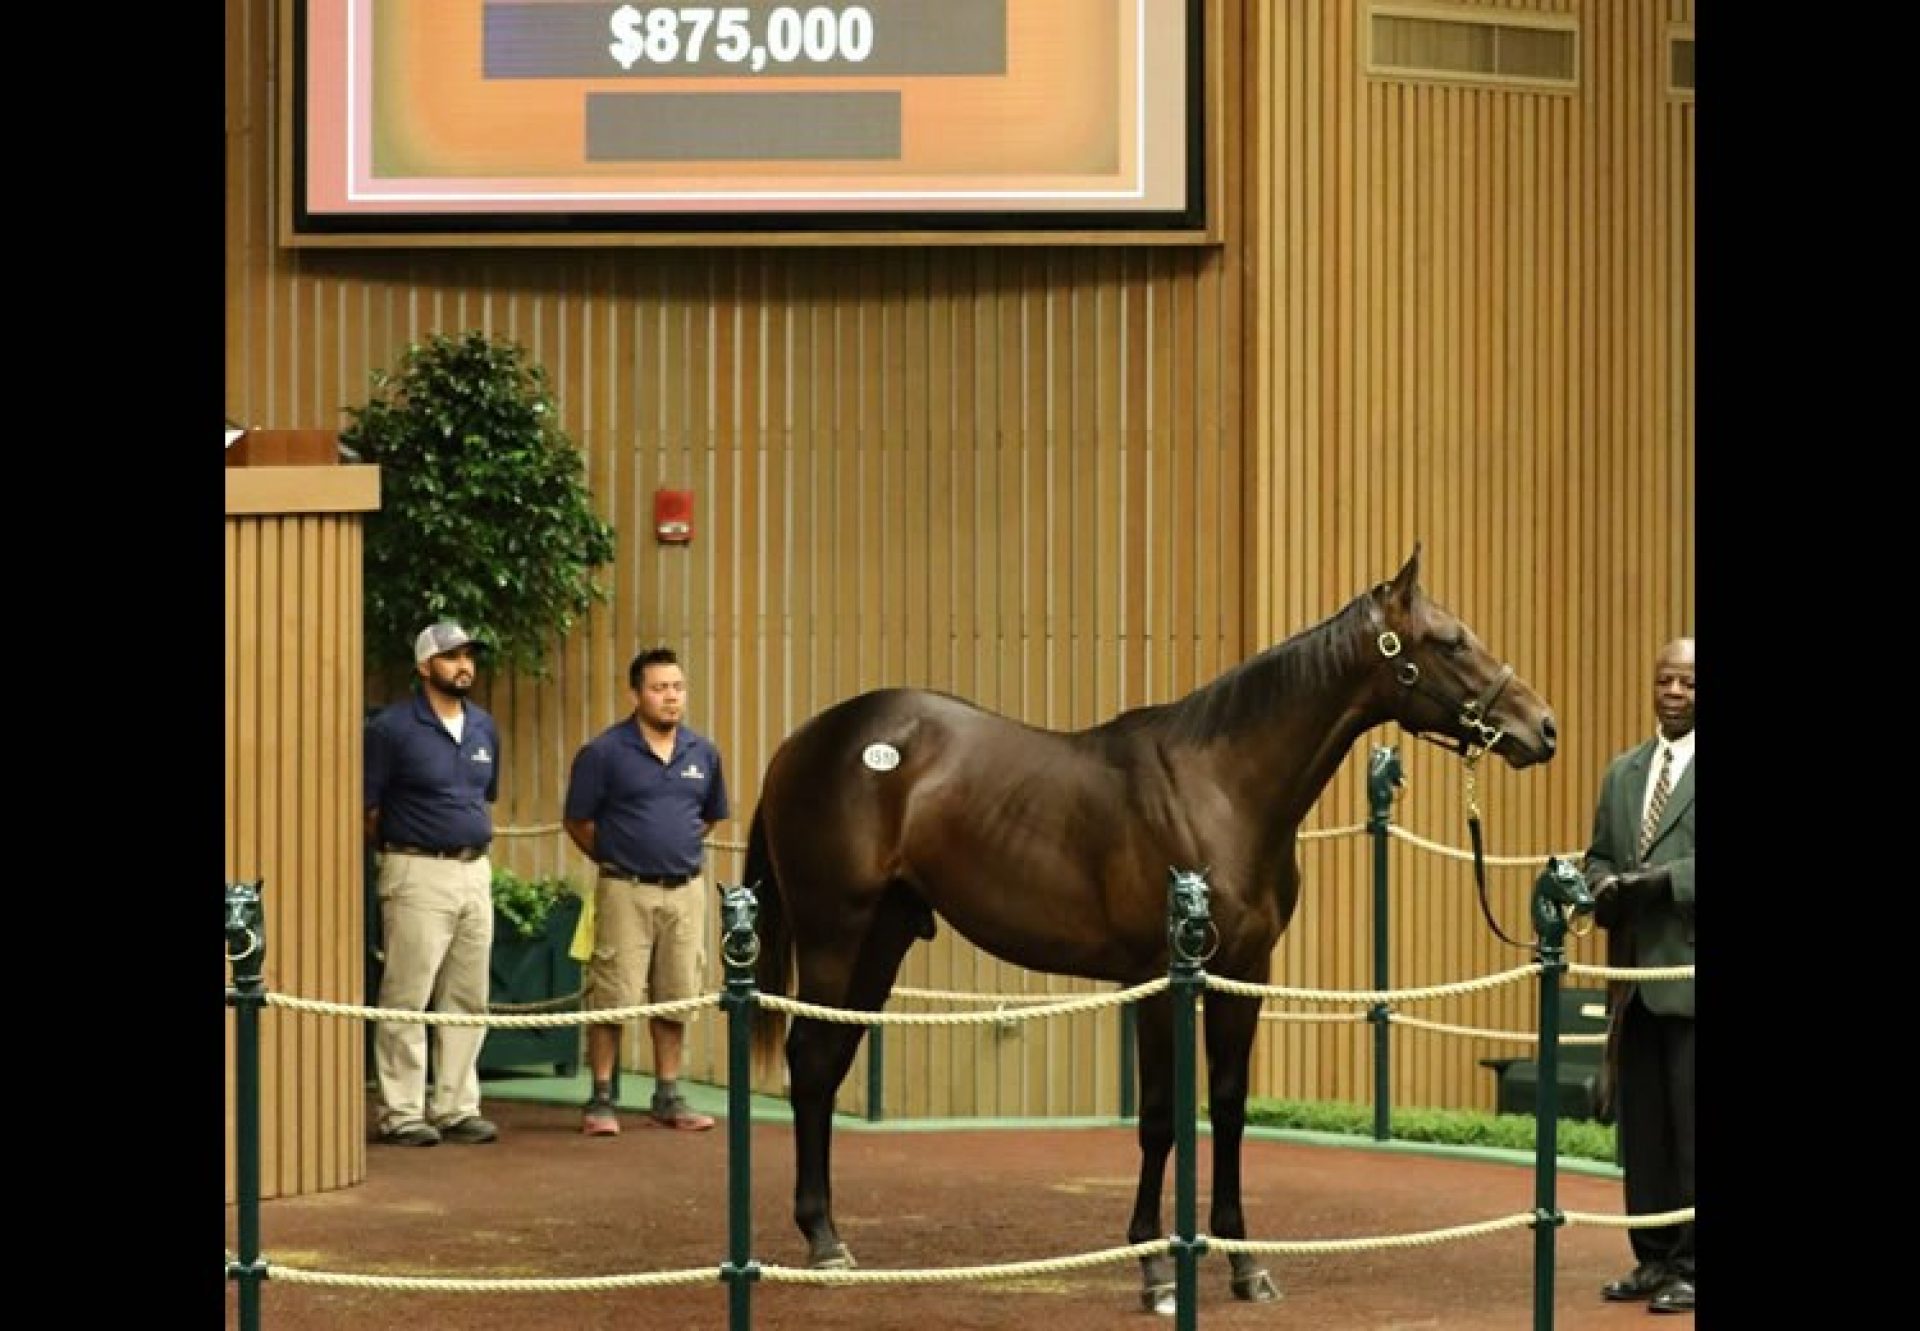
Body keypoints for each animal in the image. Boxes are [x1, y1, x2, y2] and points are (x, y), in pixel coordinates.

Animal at [741, 541, 1551, 1306]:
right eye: (1450, 641)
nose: (1541, 726)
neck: (1219, 790)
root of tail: (803, 740)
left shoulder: (1243, 975)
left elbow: (1227, 1107)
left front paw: (1246, 1263)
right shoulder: (1160, 977)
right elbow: (1161, 1115)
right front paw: (1156, 1267)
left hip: (882, 939)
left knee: (829, 1063)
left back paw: (828, 1235)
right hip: (835, 933)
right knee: (811, 1061)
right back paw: (824, 1242)